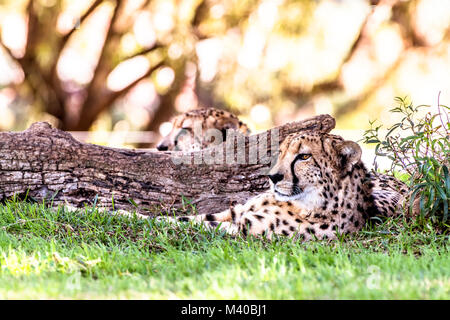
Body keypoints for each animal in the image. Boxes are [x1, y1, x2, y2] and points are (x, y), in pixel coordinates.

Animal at [163, 131, 408, 240]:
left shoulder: (245, 228)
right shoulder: (236, 212)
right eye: (280, 153)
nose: (273, 177)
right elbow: (187, 218)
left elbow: (200, 226)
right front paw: (154, 219)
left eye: (304, 157)